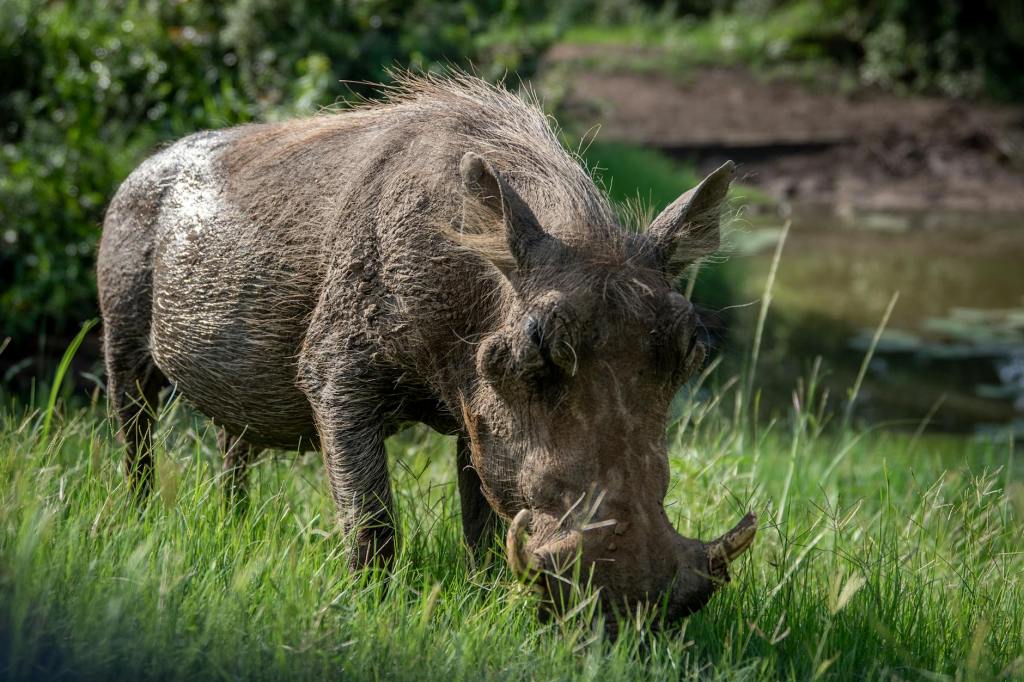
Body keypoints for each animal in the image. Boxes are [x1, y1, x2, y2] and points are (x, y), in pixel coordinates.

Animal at [97, 73, 754, 622]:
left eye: (692, 348)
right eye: (536, 346)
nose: (637, 600)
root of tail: (139, 169)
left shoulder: (473, 415)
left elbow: (481, 524)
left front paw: (487, 597)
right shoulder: (336, 379)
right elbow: (372, 522)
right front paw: (369, 610)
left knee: (232, 450)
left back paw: (235, 524)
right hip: (121, 345)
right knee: (135, 441)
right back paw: (138, 519)